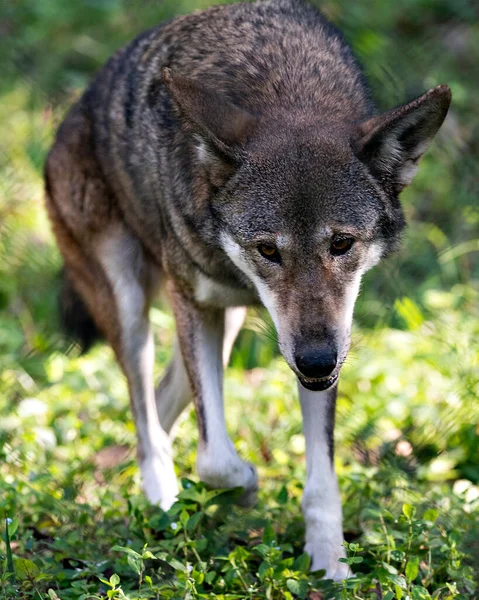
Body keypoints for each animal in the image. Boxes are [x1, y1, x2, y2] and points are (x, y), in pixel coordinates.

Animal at [44, 0, 450, 580]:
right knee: (145, 420)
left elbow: (320, 480)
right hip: (131, 308)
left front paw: (330, 566)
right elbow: (215, 457)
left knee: (162, 406)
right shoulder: (193, 303)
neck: (285, 89)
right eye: (268, 250)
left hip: (230, 323)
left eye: (342, 243)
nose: (317, 361)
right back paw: (163, 501)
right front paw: (246, 489)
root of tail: (69, 117)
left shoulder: (317, 344)